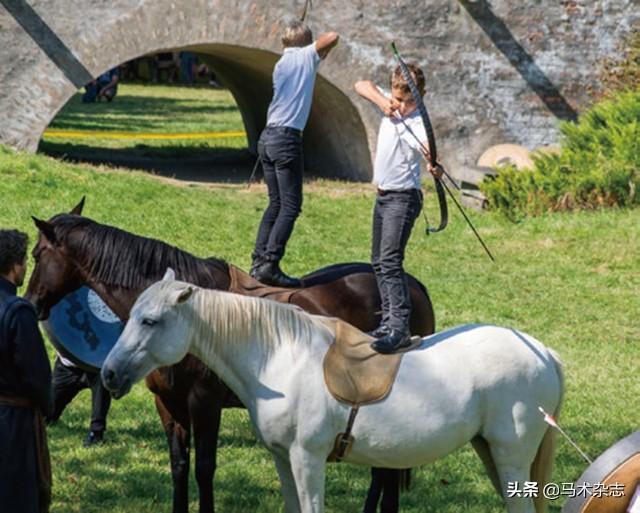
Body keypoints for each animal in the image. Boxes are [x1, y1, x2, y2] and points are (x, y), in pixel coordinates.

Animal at [25, 200, 436, 512]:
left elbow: (204, 469)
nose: (31, 302)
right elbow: (179, 466)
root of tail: (413, 286)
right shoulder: (169, 404)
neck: (186, 317)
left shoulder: (204, 403)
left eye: (37, 254)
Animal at [102, 268, 564, 512]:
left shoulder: (307, 459)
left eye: (150, 321)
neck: (279, 358)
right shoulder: (283, 459)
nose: (109, 374)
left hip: (510, 457)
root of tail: (545, 354)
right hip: (493, 454)